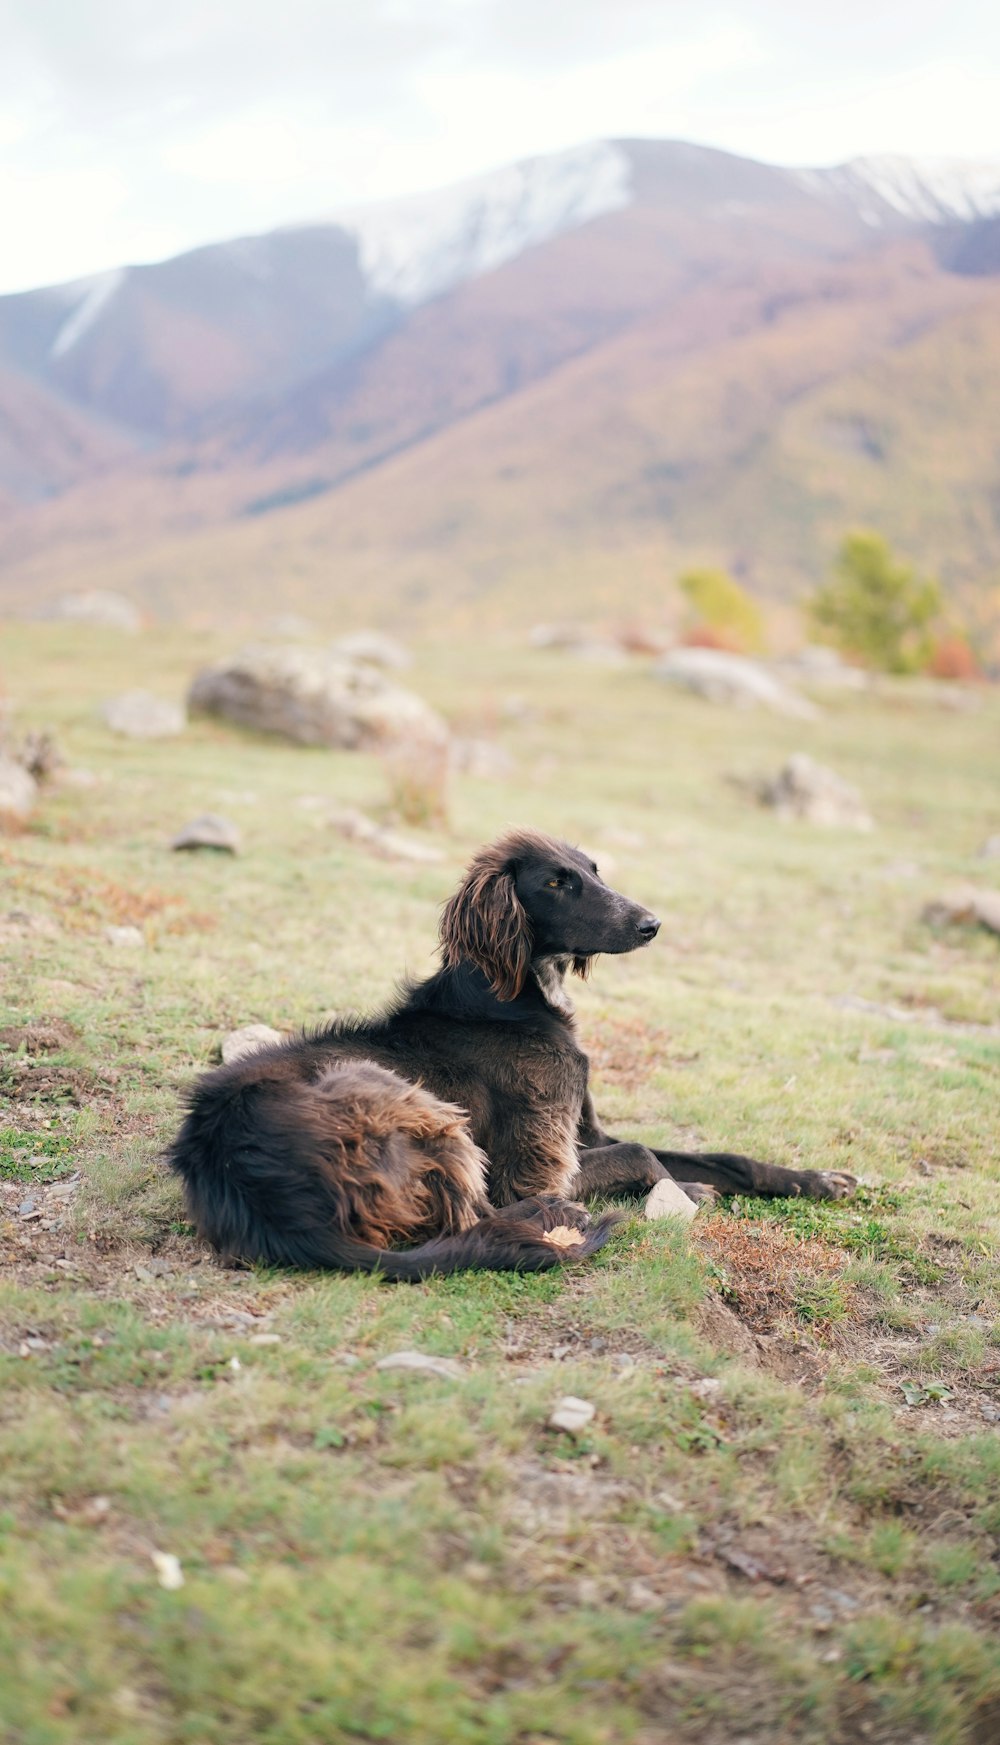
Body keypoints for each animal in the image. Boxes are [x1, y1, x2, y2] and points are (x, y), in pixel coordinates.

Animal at [167, 823, 855, 1277]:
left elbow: (720, 1155)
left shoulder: (586, 1131)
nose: (651, 924)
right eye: (556, 882)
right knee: (487, 1218)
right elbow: (642, 1155)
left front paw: (813, 1179)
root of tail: (250, 1185)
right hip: (401, 1100)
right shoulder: (540, 1163)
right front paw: (683, 1194)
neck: (511, 1001)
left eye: (595, 871)